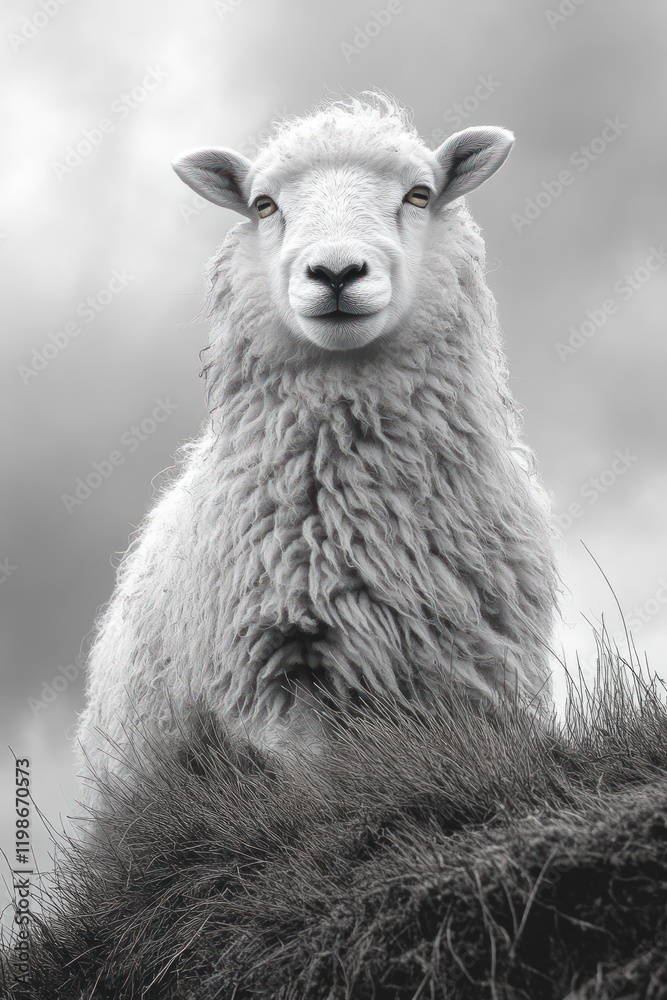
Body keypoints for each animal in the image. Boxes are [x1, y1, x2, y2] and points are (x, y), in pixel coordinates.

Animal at [76, 94, 558, 811]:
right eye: (264, 204)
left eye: (419, 194)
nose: (335, 272)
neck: (362, 514)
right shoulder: (274, 673)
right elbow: (318, 793)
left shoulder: (474, 670)